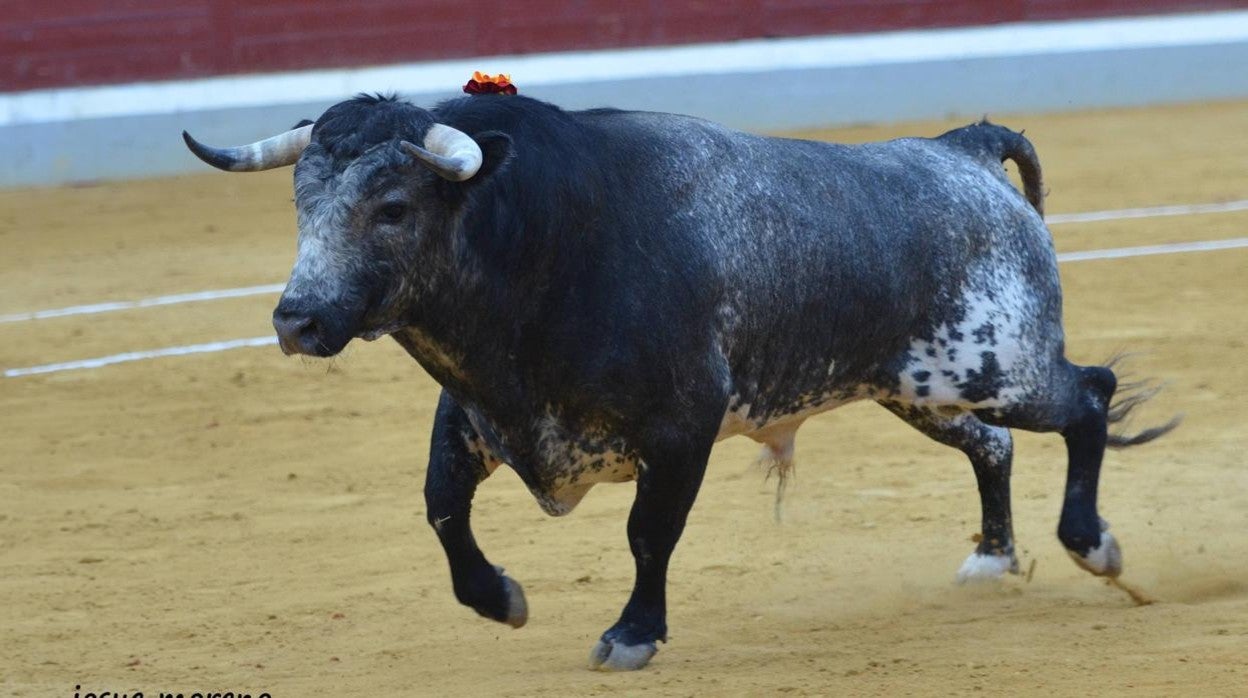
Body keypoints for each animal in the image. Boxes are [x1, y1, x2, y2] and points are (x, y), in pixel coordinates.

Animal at [180, 93, 1173, 674]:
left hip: (996, 364)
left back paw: (1092, 545)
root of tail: (959, 147)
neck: (540, 237)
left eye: (390, 207)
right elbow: (441, 510)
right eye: (302, 202)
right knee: (993, 444)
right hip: (922, 386)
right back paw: (992, 559)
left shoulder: (679, 428)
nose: (297, 321)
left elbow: (647, 534)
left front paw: (631, 635)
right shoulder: (475, 416)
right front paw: (502, 600)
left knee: (1086, 396)